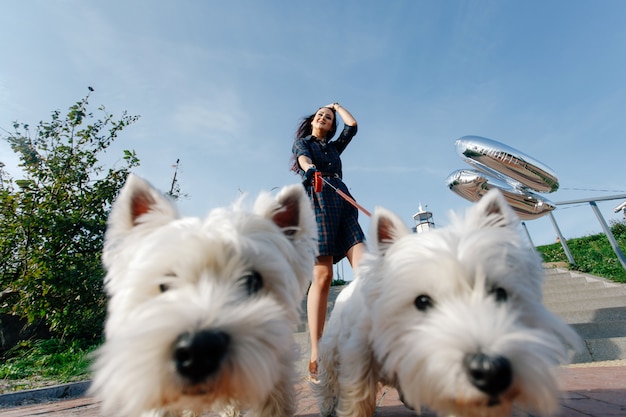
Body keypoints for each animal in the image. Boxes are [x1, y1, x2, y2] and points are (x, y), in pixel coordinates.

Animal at [314, 188, 584, 416]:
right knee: (328, 378)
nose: (490, 370)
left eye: (499, 293)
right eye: (422, 301)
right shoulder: (358, 353)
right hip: (331, 348)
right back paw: (326, 406)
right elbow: (357, 396)